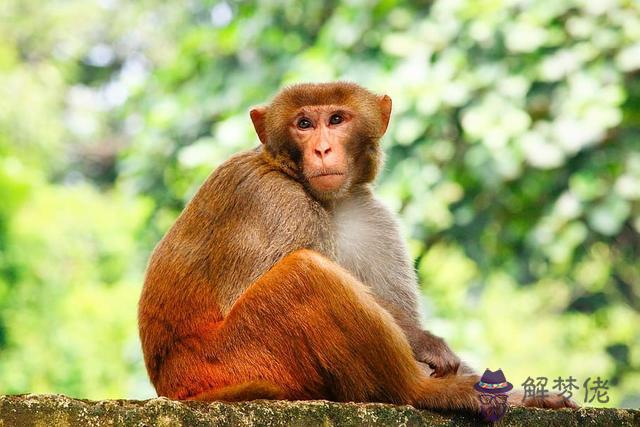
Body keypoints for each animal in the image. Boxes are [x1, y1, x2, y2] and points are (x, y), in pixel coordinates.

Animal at [139, 82, 576, 416]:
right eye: (303, 124)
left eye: (336, 120)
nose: (322, 150)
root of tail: (173, 387)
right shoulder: (274, 202)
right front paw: (425, 344)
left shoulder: (370, 215)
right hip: (234, 362)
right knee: (304, 274)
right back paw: (427, 393)